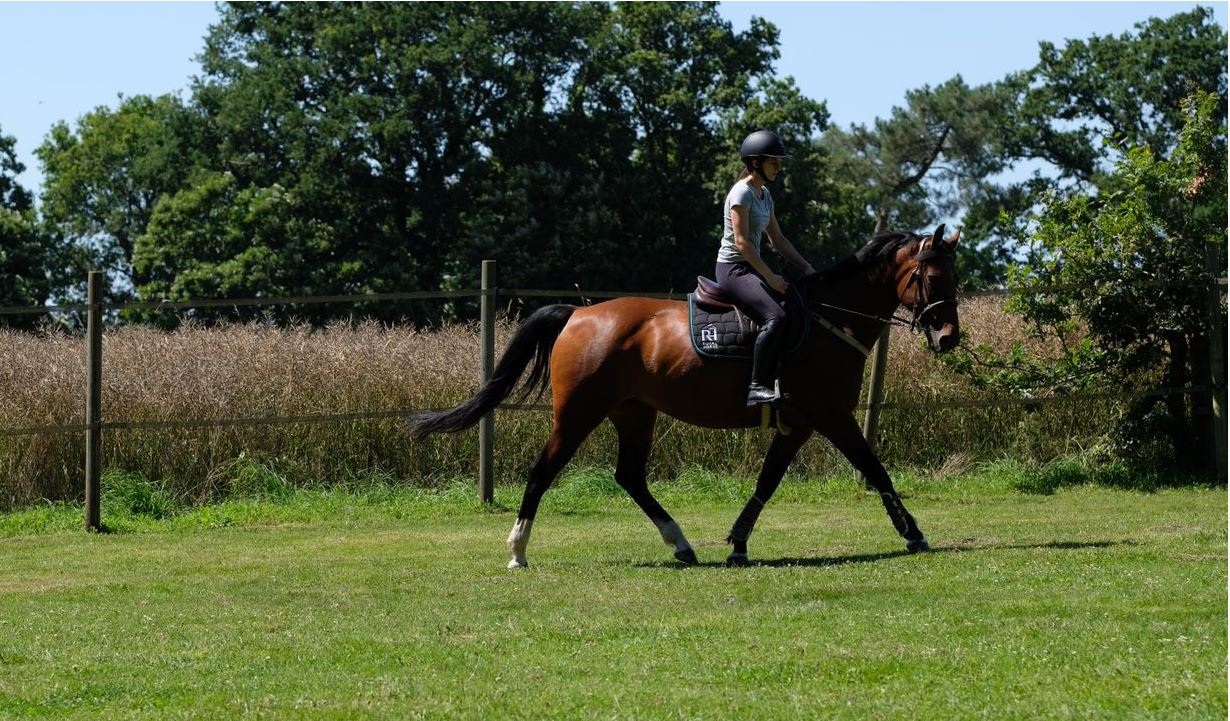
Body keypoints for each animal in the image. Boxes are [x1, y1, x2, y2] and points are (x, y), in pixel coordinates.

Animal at [408, 223, 964, 565]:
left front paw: (737, 544)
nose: (949, 338)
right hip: (578, 413)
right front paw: (914, 534)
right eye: (933, 276)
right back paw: (518, 550)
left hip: (633, 413)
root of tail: (577, 314)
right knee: (541, 473)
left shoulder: (800, 423)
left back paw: (680, 544)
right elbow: (875, 469)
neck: (831, 320)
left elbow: (768, 481)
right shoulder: (831, 415)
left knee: (630, 477)